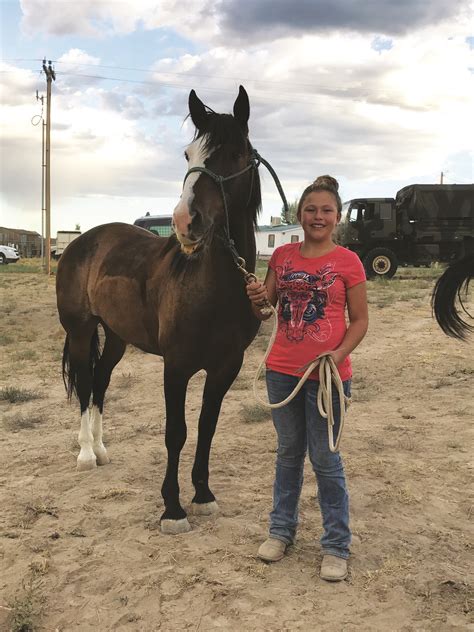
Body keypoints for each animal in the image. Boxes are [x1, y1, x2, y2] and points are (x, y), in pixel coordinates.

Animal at [56, 86, 262, 536]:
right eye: (188, 154)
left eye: (237, 153)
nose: (186, 222)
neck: (213, 286)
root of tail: (81, 242)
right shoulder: (177, 366)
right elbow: (176, 433)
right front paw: (172, 508)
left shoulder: (226, 367)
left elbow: (206, 428)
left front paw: (203, 495)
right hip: (81, 331)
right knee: (85, 383)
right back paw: (85, 455)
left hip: (116, 337)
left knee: (100, 382)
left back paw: (102, 450)